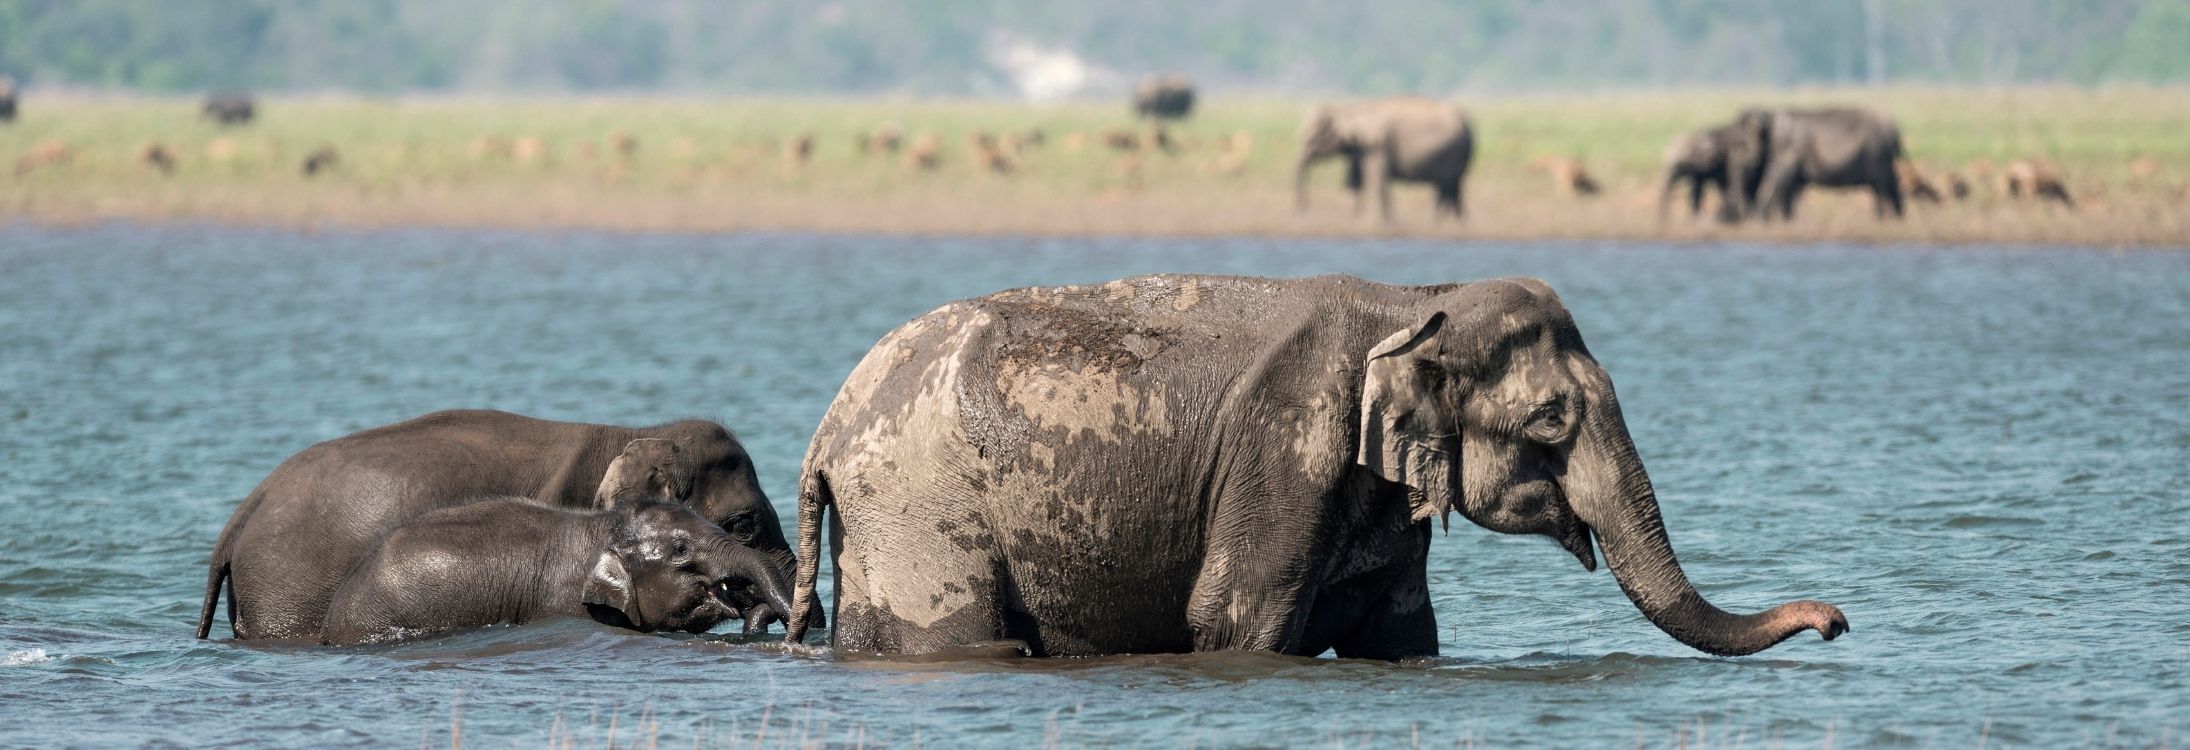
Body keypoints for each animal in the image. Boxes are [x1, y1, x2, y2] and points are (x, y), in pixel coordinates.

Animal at [779, 274, 1839, 657]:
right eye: (1550, 418)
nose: (1834, 621)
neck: (1413, 304)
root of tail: (826, 429)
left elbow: (1401, 633)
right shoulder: (1284, 449)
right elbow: (1236, 621)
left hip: (888, 520)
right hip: (922, 507)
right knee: (957, 640)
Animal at [1296, 96, 1471, 221]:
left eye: (1313, 139)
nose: (1303, 209)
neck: (1350, 109)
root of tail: (1465, 122)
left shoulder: (1376, 146)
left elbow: (1376, 179)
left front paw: (1382, 221)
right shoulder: (1362, 149)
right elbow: (1358, 180)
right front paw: (1357, 218)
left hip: (1449, 153)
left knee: (1444, 187)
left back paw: (1435, 221)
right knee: (1456, 186)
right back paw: (1458, 223)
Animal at [1725, 106, 1900, 221]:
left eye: (1741, 144)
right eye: (1736, 142)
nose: (1749, 217)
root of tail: (1894, 130)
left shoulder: (1787, 152)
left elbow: (1776, 180)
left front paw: (1763, 219)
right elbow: (1789, 191)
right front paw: (1787, 220)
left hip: (1878, 157)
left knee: (1880, 188)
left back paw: (1880, 218)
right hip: (1885, 160)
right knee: (1892, 184)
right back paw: (1897, 218)